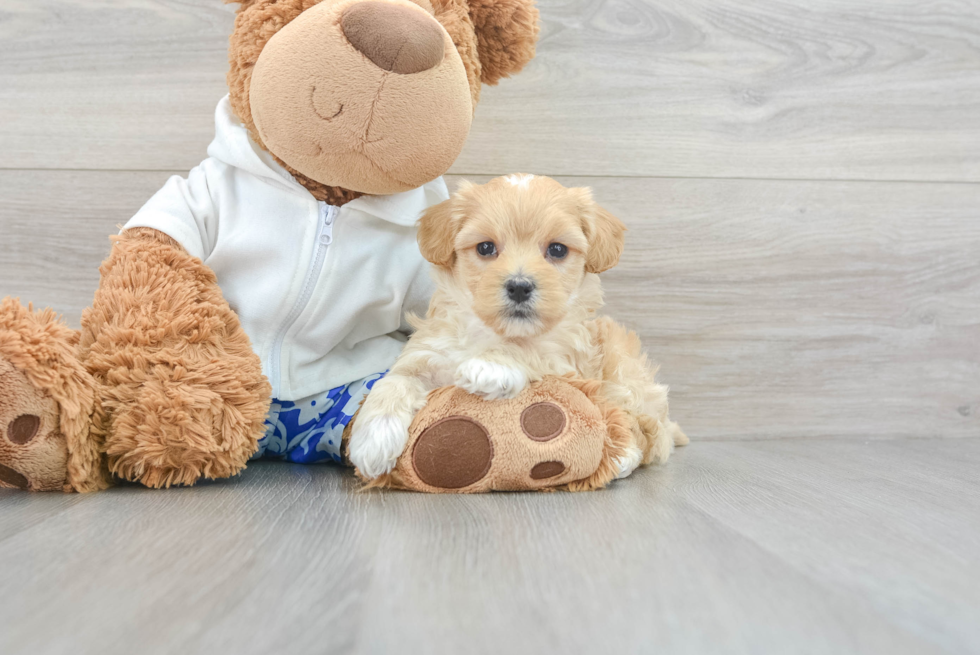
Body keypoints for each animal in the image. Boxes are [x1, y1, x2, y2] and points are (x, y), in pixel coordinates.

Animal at [348, 174, 684, 482]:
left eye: (557, 250)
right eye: (485, 247)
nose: (520, 286)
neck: (491, 331)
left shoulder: (565, 360)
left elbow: (529, 349)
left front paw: (492, 366)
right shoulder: (427, 353)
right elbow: (394, 381)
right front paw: (373, 438)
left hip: (625, 375)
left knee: (648, 431)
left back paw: (623, 456)